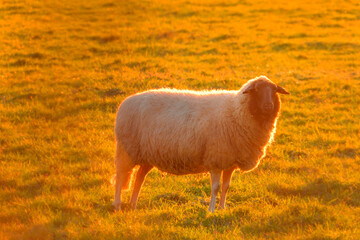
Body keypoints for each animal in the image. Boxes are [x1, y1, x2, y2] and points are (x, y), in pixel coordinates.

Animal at [112, 75, 290, 212]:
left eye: (274, 91)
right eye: (257, 91)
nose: (268, 106)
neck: (236, 112)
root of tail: (125, 102)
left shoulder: (229, 161)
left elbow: (226, 186)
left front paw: (222, 209)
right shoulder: (216, 159)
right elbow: (215, 187)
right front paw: (211, 210)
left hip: (147, 155)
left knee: (139, 178)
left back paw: (133, 205)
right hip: (127, 150)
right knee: (121, 177)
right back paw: (118, 205)